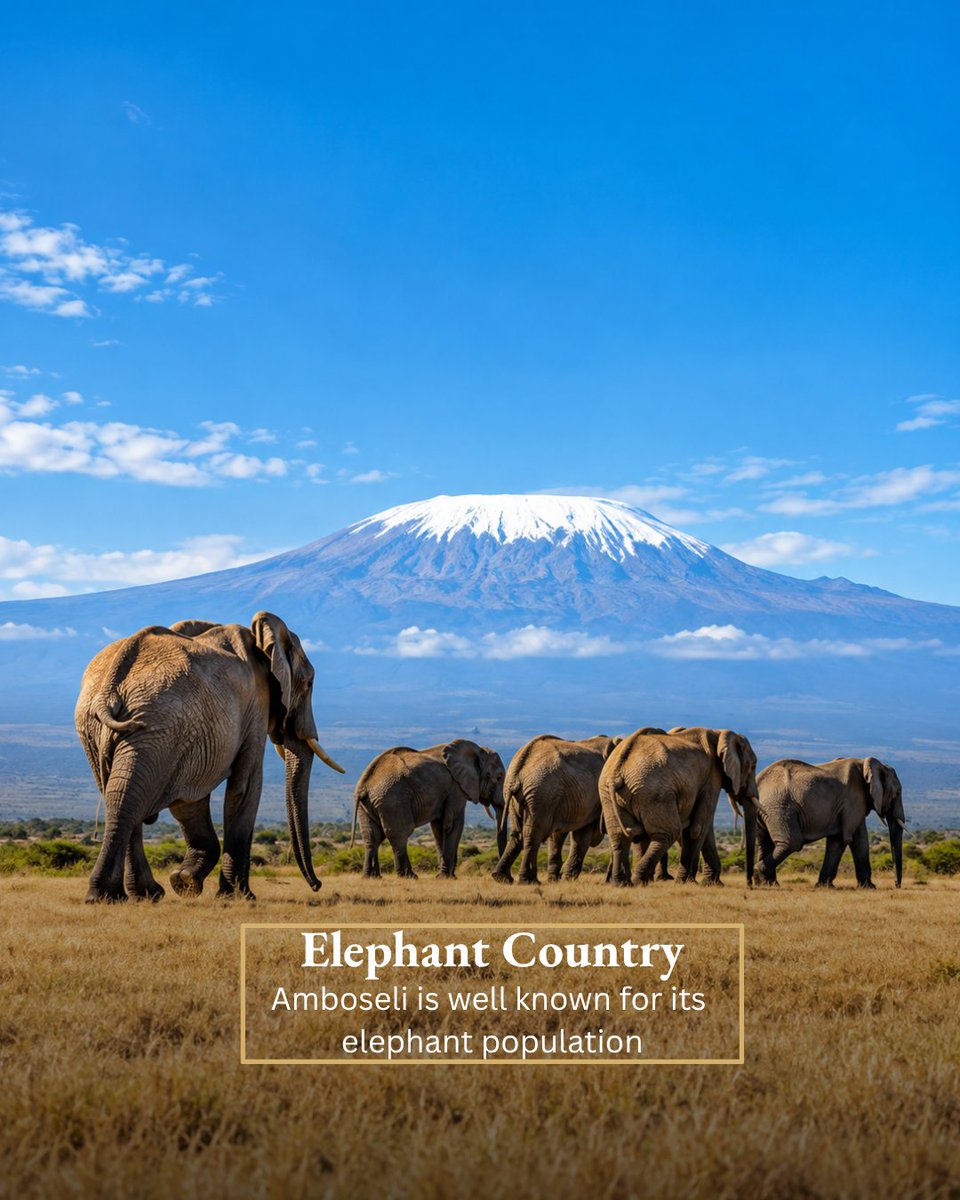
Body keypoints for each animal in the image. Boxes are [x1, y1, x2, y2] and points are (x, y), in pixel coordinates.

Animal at [75, 612, 344, 903]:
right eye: (309, 683)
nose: (316, 885)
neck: (261, 639)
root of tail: (111, 687)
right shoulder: (255, 704)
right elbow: (246, 785)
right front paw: (238, 896)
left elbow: (189, 800)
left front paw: (184, 881)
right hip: (155, 725)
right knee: (127, 798)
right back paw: (115, 896)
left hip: (104, 728)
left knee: (119, 795)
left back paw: (133, 895)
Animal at [351, 740, 505, 878]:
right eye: (499, 777)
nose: (495, 875)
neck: (478, 750)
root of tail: (365, 786)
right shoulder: (456, 788)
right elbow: (452, 824)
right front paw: (447, 877)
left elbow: (438, 827)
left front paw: (445, 875)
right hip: (393, 800)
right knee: (400, 834)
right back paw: (409, 876)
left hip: (368, 806)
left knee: (372, 836)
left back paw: (371, 877)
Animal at [491, 735, 621, 884]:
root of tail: (519, 768)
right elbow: (581, 836)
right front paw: (566, 878)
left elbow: (557, 836)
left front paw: (555, 879)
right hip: (542, 793)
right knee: (533, 833)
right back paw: (529, 880)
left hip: (517, 795)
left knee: (518, 834)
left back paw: (502, 877)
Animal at [599, 726, 758, 886]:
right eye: (752, 766)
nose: (750, 885)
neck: (719, 734)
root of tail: (617, 772)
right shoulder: (712, 777)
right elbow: (698, 828)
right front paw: (686, 882)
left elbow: (703, 827)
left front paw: (711, 884)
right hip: (654, 792)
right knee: (667, 833)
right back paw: (639, 881)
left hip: (609, 794)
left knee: (620, 837)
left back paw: (622, 884)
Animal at [746, 757, 905, 889]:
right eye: (897, 793)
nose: (896, 885)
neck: (867, 765)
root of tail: (758, 781)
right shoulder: (852, 800)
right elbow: (847, 839)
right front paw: (869, 887)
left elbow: (853, 841)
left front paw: (827, 886)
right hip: (779, 806)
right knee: (792, 842)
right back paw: (760, 876)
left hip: (766, 809)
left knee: (765, 842)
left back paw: (767, 884)